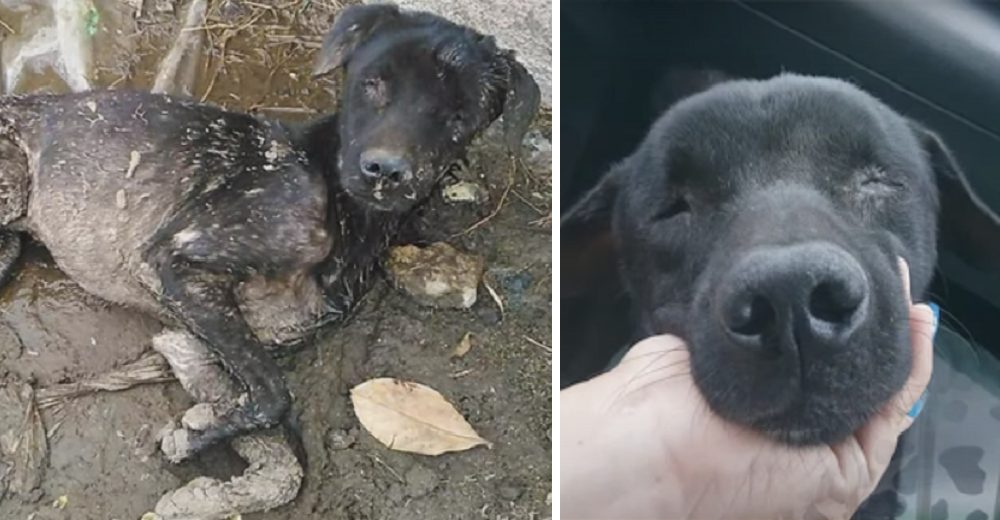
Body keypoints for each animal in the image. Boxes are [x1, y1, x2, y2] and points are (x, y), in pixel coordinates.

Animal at [0, 0, 540, 512]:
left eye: (459, 116)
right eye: (372, 84)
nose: (386, 171)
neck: (344, 208)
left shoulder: (189, 342)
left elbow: (283, 456)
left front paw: (208, 479)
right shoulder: (175, 261)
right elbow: (275, 396)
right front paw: (196, 441)